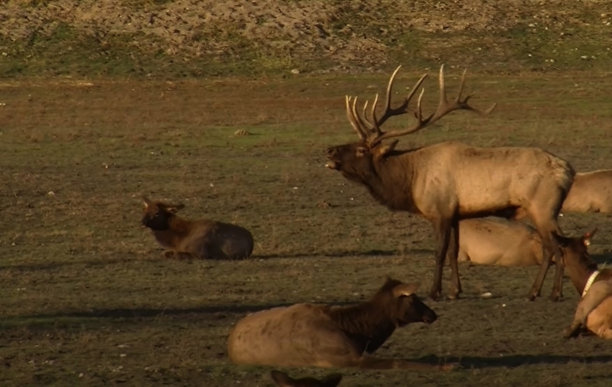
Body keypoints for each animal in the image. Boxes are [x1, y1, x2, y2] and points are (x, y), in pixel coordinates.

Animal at [225, 278, 450, 372]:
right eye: (413, 299)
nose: (433, 314)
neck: (359, 335)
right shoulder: (345, 358)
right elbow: (397, 362)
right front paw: (446, 366)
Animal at [326, 65, 572, 302]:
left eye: (361, 150)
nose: (329, 150)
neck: (411, 180)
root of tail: (568, 170)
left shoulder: (440, 211)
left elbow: (439, 253)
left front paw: (435, 292)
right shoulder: (455, 214)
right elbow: (453, 252)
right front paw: (455, 291)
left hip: (542, 207)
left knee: (556, 247)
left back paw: (550, 293)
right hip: (546, 210)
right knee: (557, 245)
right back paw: (539, 291)